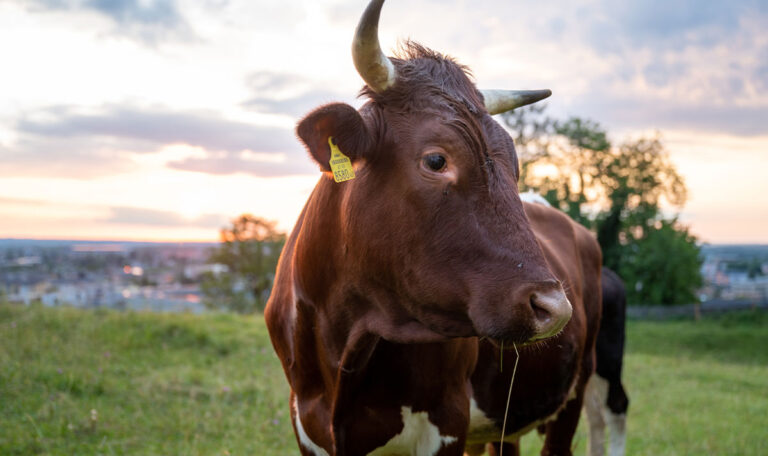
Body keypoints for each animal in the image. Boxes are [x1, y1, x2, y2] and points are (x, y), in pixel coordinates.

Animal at [265, 1, 603, 454]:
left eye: (515, 167)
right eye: (437, 160)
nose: (553, 306)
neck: (345, 341)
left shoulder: (447, 421)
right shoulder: (306, 422)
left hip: (575, 390)